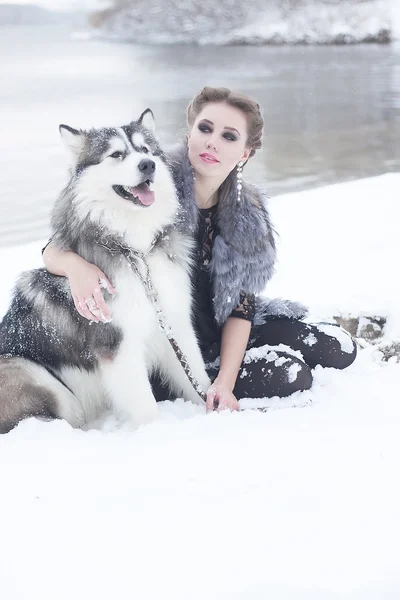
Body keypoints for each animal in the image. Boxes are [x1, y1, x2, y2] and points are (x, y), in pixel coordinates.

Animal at [0, 110, 211, 434]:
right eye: (116, 154)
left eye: (145, 150)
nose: (147, 165)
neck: (136, 250)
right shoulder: (119, 345)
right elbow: (146, 407)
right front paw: (156, 432)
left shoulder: (174, 324)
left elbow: (197, 379)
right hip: (38, 377)